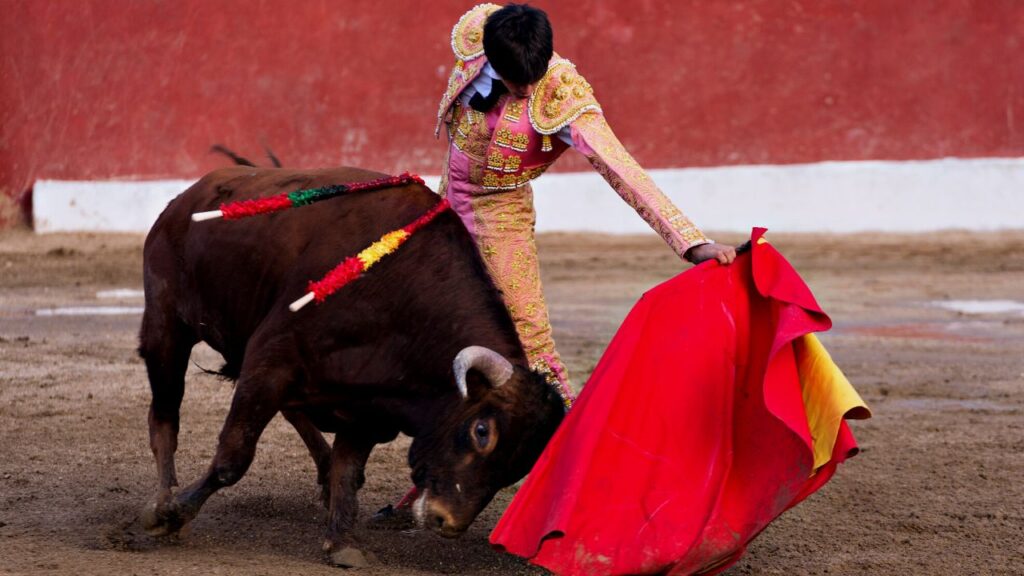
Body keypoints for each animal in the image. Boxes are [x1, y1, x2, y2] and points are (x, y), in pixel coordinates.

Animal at [136, 166, 565, 565]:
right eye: (481, 431)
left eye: (521, 465)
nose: (448, 522)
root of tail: (186, 198)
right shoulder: (270, 362)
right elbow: (233, 456)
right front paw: (172, 515)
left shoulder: (367, 405)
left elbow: (348, 469)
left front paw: (342, 543)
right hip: (166, 327)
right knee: (165, 417)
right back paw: (162, 501)